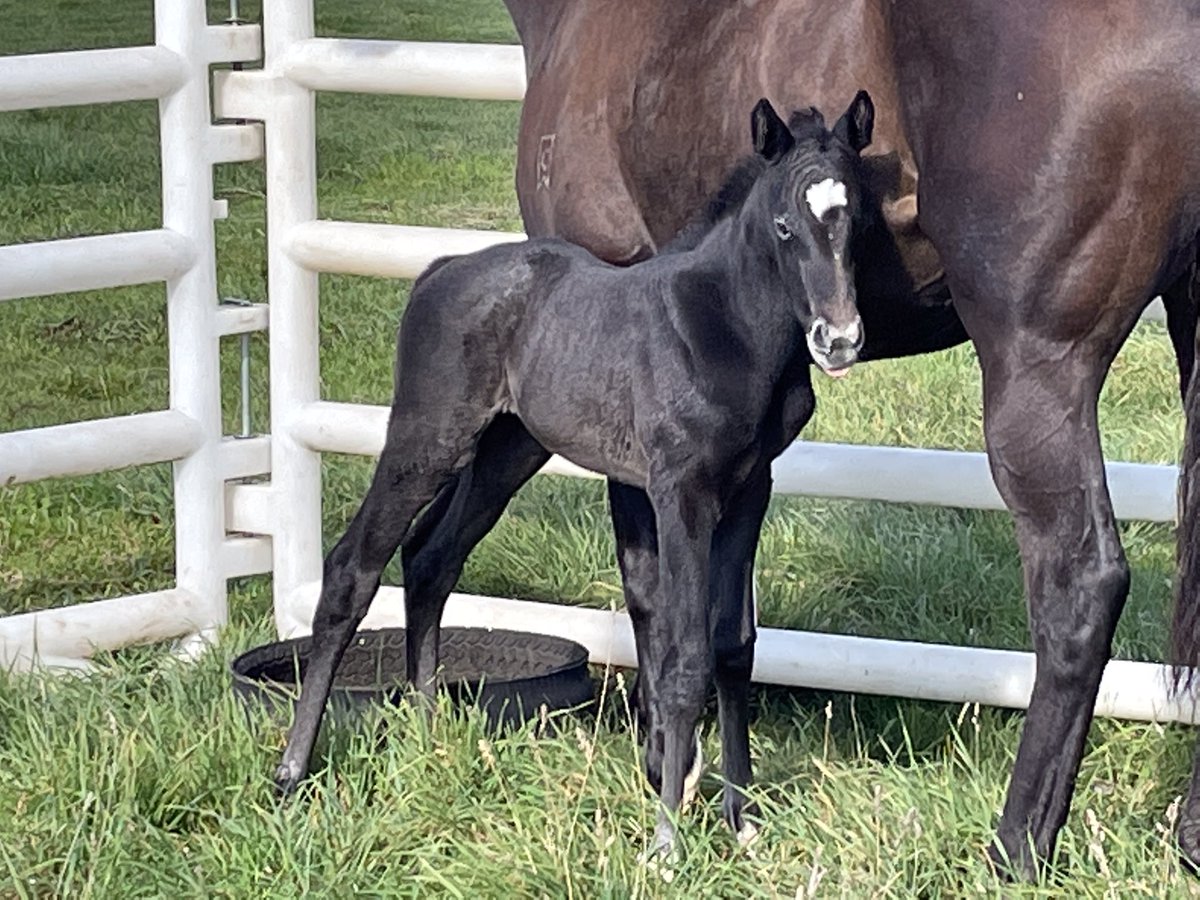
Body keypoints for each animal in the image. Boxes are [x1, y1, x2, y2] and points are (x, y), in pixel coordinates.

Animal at [273, 93, 877, 856]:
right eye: (784, 226)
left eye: (856, 220)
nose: (839, 340)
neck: (725, 326)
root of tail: (440, 269)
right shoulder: (681, 493)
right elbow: (684, 658)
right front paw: (667, 843)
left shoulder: (750, 489)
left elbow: (734, 648)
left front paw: (742, 822)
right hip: (427, 437)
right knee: (354, 567)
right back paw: (292, 770)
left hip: (509, 449)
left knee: (432, 558)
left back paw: (428, 736)